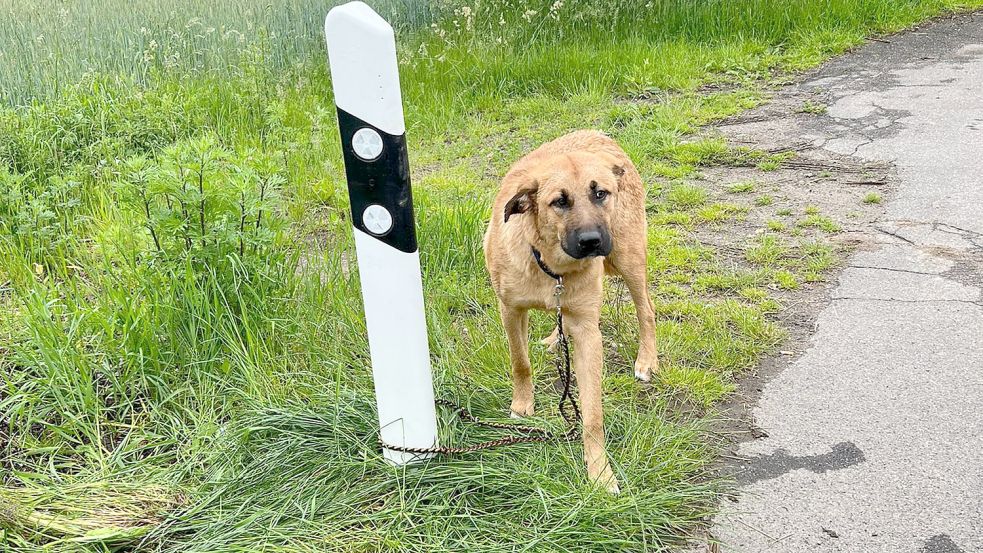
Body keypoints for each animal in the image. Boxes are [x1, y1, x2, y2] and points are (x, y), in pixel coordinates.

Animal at [484, 130, 660, 492]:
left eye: (600, 193)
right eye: (559, 202)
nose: (592, 241)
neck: (551, 264)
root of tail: (598, 134)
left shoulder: (587, 335)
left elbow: (592, 415)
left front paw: (600, 473)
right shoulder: (510, 310)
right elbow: (520, 362)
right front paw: (522, 405)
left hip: (629, 258)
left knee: (646, 310)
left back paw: (647, 359)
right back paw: (555, 338)